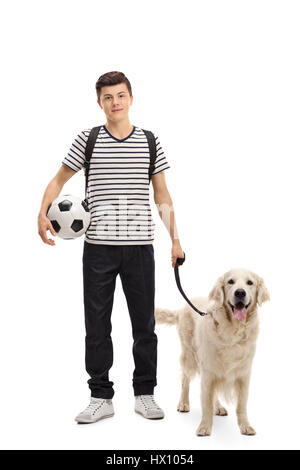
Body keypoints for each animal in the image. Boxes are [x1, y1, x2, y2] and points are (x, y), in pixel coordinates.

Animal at [155, 268, 270, 436]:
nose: (240, 293)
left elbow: (241, 405)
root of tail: (182, 308)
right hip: (190, 356)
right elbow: (206, 403)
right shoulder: (208, 369)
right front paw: (204, 427)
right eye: (230, 281)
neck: (232, 330)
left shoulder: (243, 373)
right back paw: (183, 403)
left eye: (250, 282)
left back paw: (219, 407)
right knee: (185, 380)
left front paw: (245, 426)